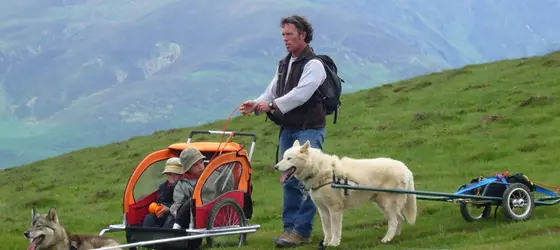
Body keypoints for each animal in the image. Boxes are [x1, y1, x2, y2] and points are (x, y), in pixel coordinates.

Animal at [274, 140, 416, 247]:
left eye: (289, 158)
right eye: (283, 158)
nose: (275, 167)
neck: (320, 171)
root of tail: (406, 168)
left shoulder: (335, 209)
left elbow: (335, 228)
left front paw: (334, 243)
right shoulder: (323, 210)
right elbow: (327, 229)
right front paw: (326, 243)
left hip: (386, 203)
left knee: (394, 221)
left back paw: (387, 239)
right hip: (382, 204)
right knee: (400, 219)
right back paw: (395, 237)